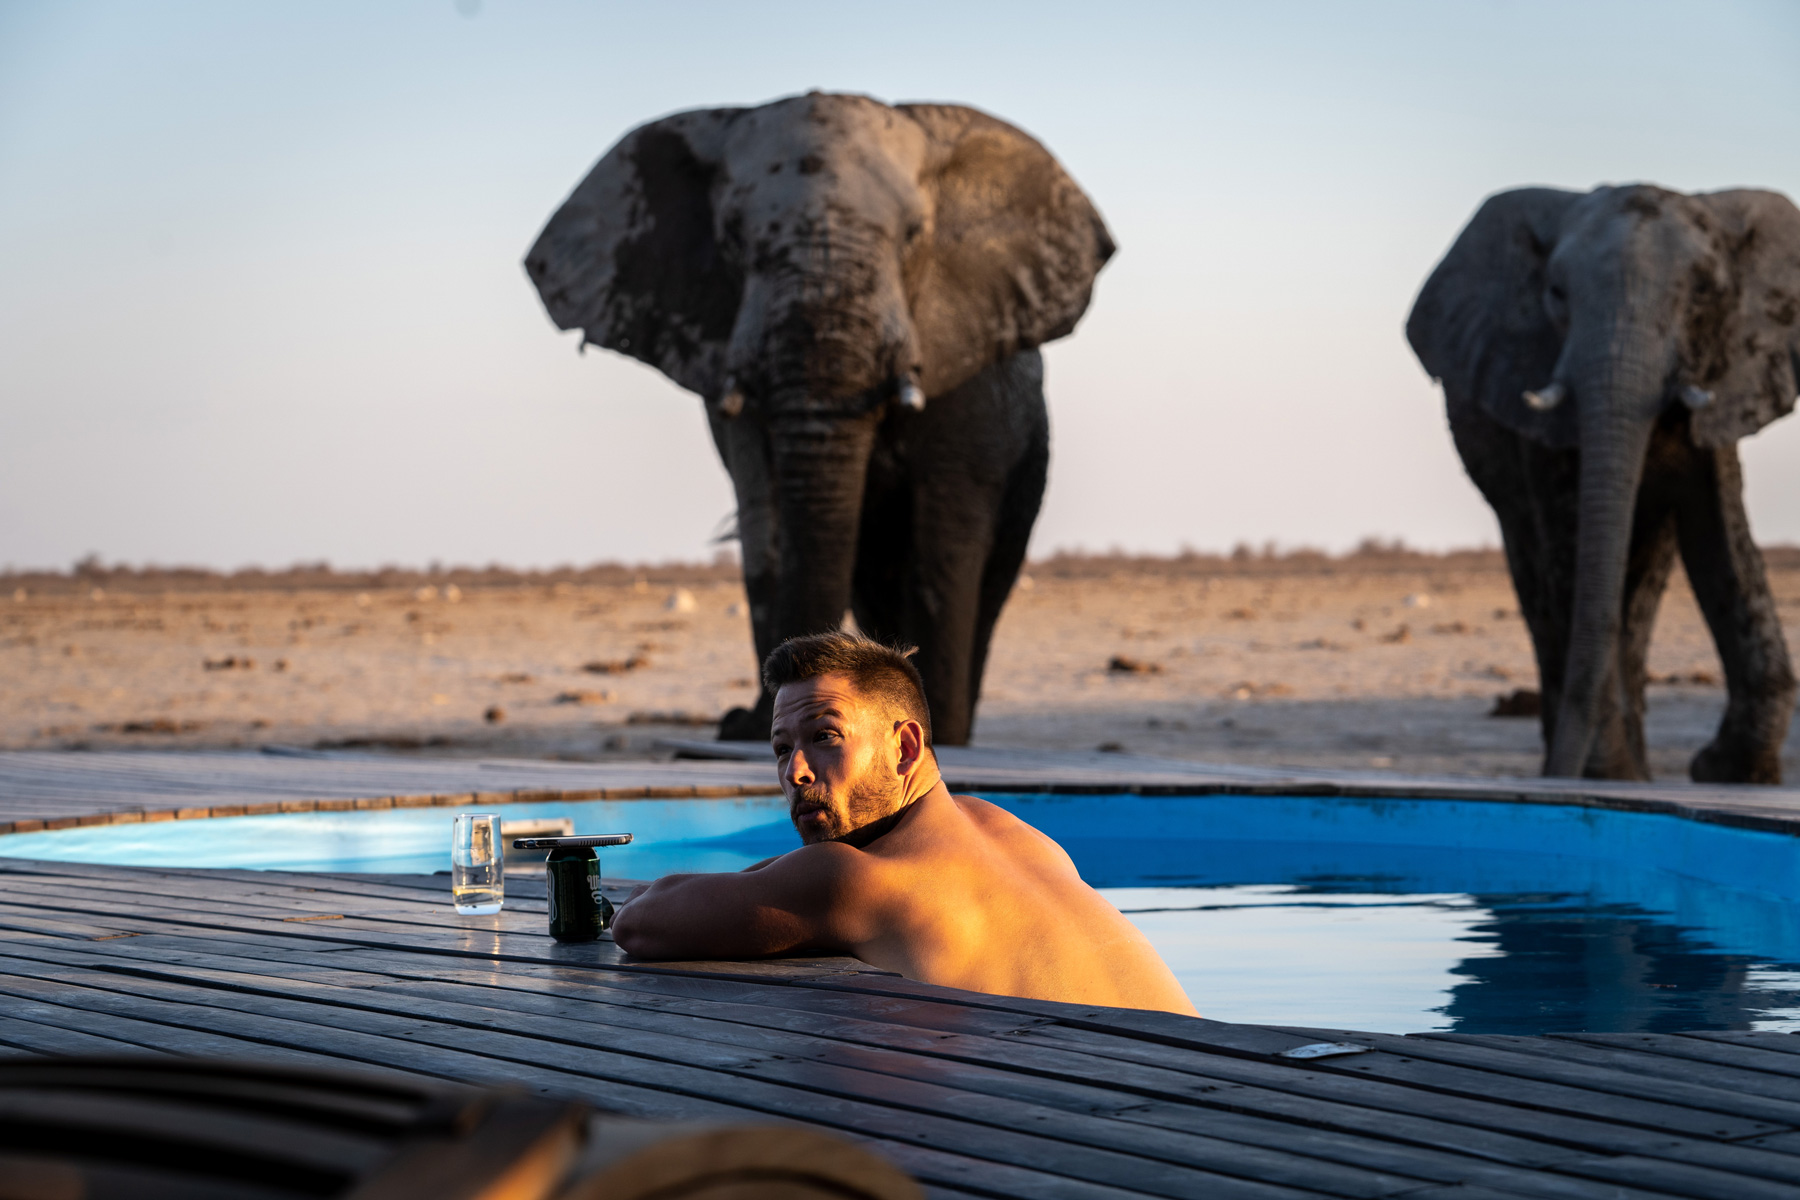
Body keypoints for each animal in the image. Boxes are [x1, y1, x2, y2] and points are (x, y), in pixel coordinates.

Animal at [525, 92, 1113, 744]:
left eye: (915, 236)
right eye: (733, 238)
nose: (756, 716)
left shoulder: (971, 363)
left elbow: (945, 533)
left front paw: (938, 725)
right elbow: (766, 516)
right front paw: (745, 726)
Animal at [1409, 184, 1800, 782]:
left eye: (1705, 293)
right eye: (1555, 294)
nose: (1563, 771)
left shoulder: (1725, 377)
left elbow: (1720, 538)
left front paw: (1726, 770)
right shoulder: (1535, 397)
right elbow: (1573, 556)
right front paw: (1606, 772)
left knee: (1642, 582)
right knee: (1540, 581)